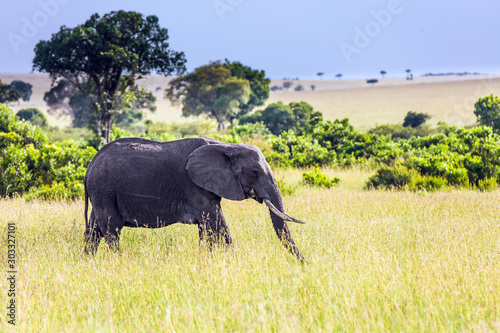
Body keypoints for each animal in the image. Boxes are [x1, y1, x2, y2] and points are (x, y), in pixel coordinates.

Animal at [84, 136, 306, 260]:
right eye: (254, 172)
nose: (305, 264)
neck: (227, 146)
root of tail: (90, 165)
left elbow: (208, 227)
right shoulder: (194, 185)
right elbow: (217, 224)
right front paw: (233, 260)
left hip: (101, 193)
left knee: (94, 230)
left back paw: (87, 261)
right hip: (104, 190)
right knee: (111, 230)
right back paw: (118, 260)